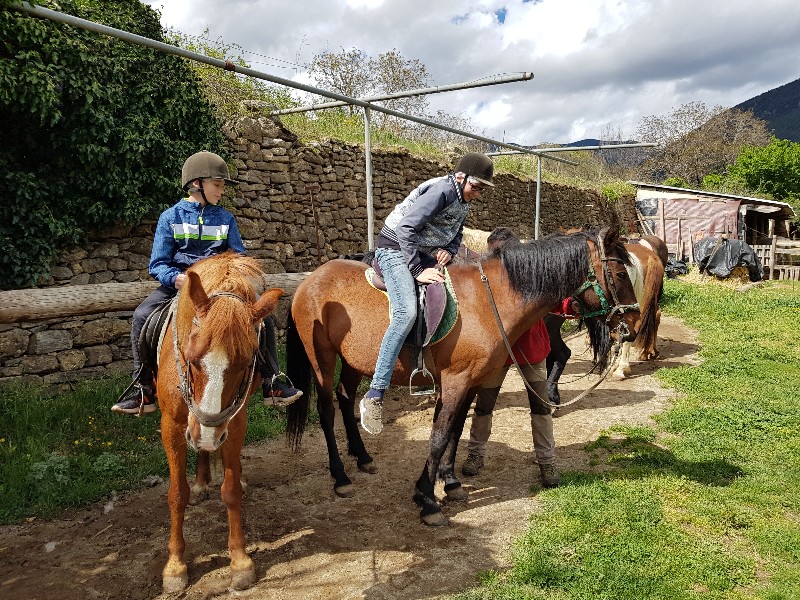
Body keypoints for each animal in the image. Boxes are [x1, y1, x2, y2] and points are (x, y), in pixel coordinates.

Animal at [155, 251, 282, 592]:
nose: (209, 432)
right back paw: (200, 481)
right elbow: (176, 494)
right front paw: (175, 567)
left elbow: (231, 491)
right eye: (192, 357)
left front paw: (240, 562)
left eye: (247, 360)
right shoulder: (172, 426)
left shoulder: (233, 423)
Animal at [284, 225, 640, 524]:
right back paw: (340, 476)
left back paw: (362, 456)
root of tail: (309, 280)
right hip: (322, 358)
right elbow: (439, 436)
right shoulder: (455, 381)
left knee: (345, 400)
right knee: (327, 410)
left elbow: (454, 431)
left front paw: (449, 483)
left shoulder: (470, 382)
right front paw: (428, 500)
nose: (633, 326)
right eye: (620, 273)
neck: (489, 300)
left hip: (354, 362)